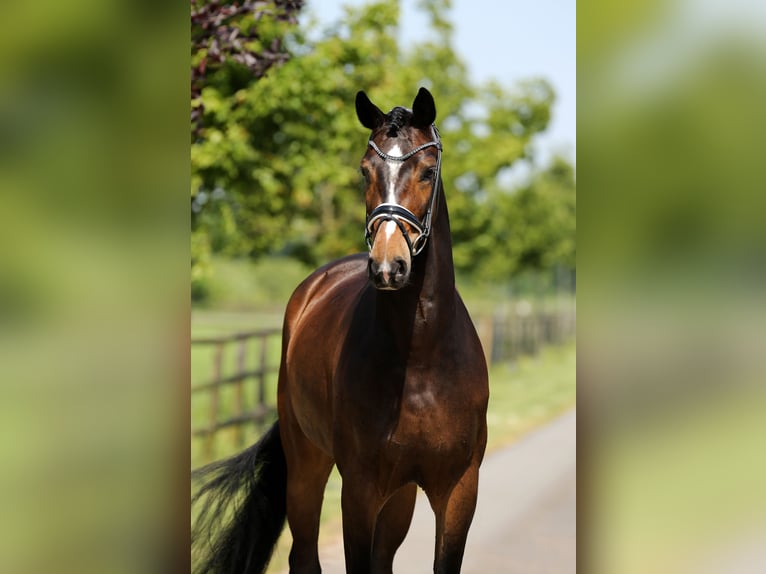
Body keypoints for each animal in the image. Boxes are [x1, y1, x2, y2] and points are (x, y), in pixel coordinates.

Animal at [195, 88, 488, 572]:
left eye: (428, 171)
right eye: (364, 170)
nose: (389, 266)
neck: (421, 358)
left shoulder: (459, 490)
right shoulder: (359, 490)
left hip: (400, 495)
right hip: (308, 466)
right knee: (304, 554)